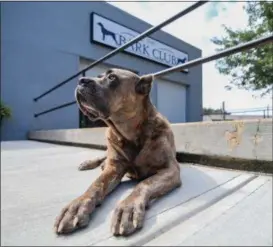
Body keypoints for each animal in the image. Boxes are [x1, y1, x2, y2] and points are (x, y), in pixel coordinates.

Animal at [53, 67, 181, 235]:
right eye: (99, 76)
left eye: (112, 77)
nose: (81, 80)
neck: (130, 133)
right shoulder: (114, 168)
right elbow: (96, 184)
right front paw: (77, 206)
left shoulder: (170, 169)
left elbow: (144, 184)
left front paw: (128, 207)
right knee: (103, 157)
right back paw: (89, 163)